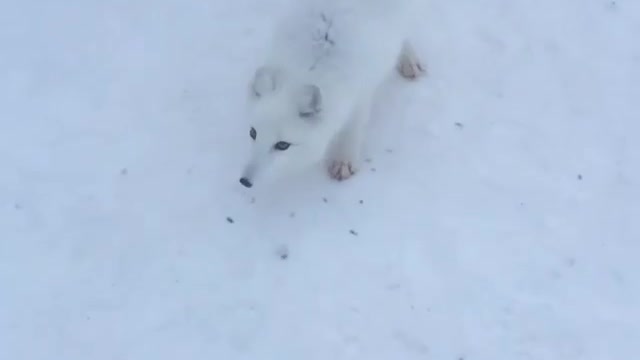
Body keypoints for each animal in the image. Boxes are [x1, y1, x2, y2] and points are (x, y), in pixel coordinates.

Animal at [238, 0, 422, 190]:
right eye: (253, 133)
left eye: (282, 145)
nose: (245, 181)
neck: (308, 68)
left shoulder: (360, 96)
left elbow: (352, 130)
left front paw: (343, 162)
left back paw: (408, 60)